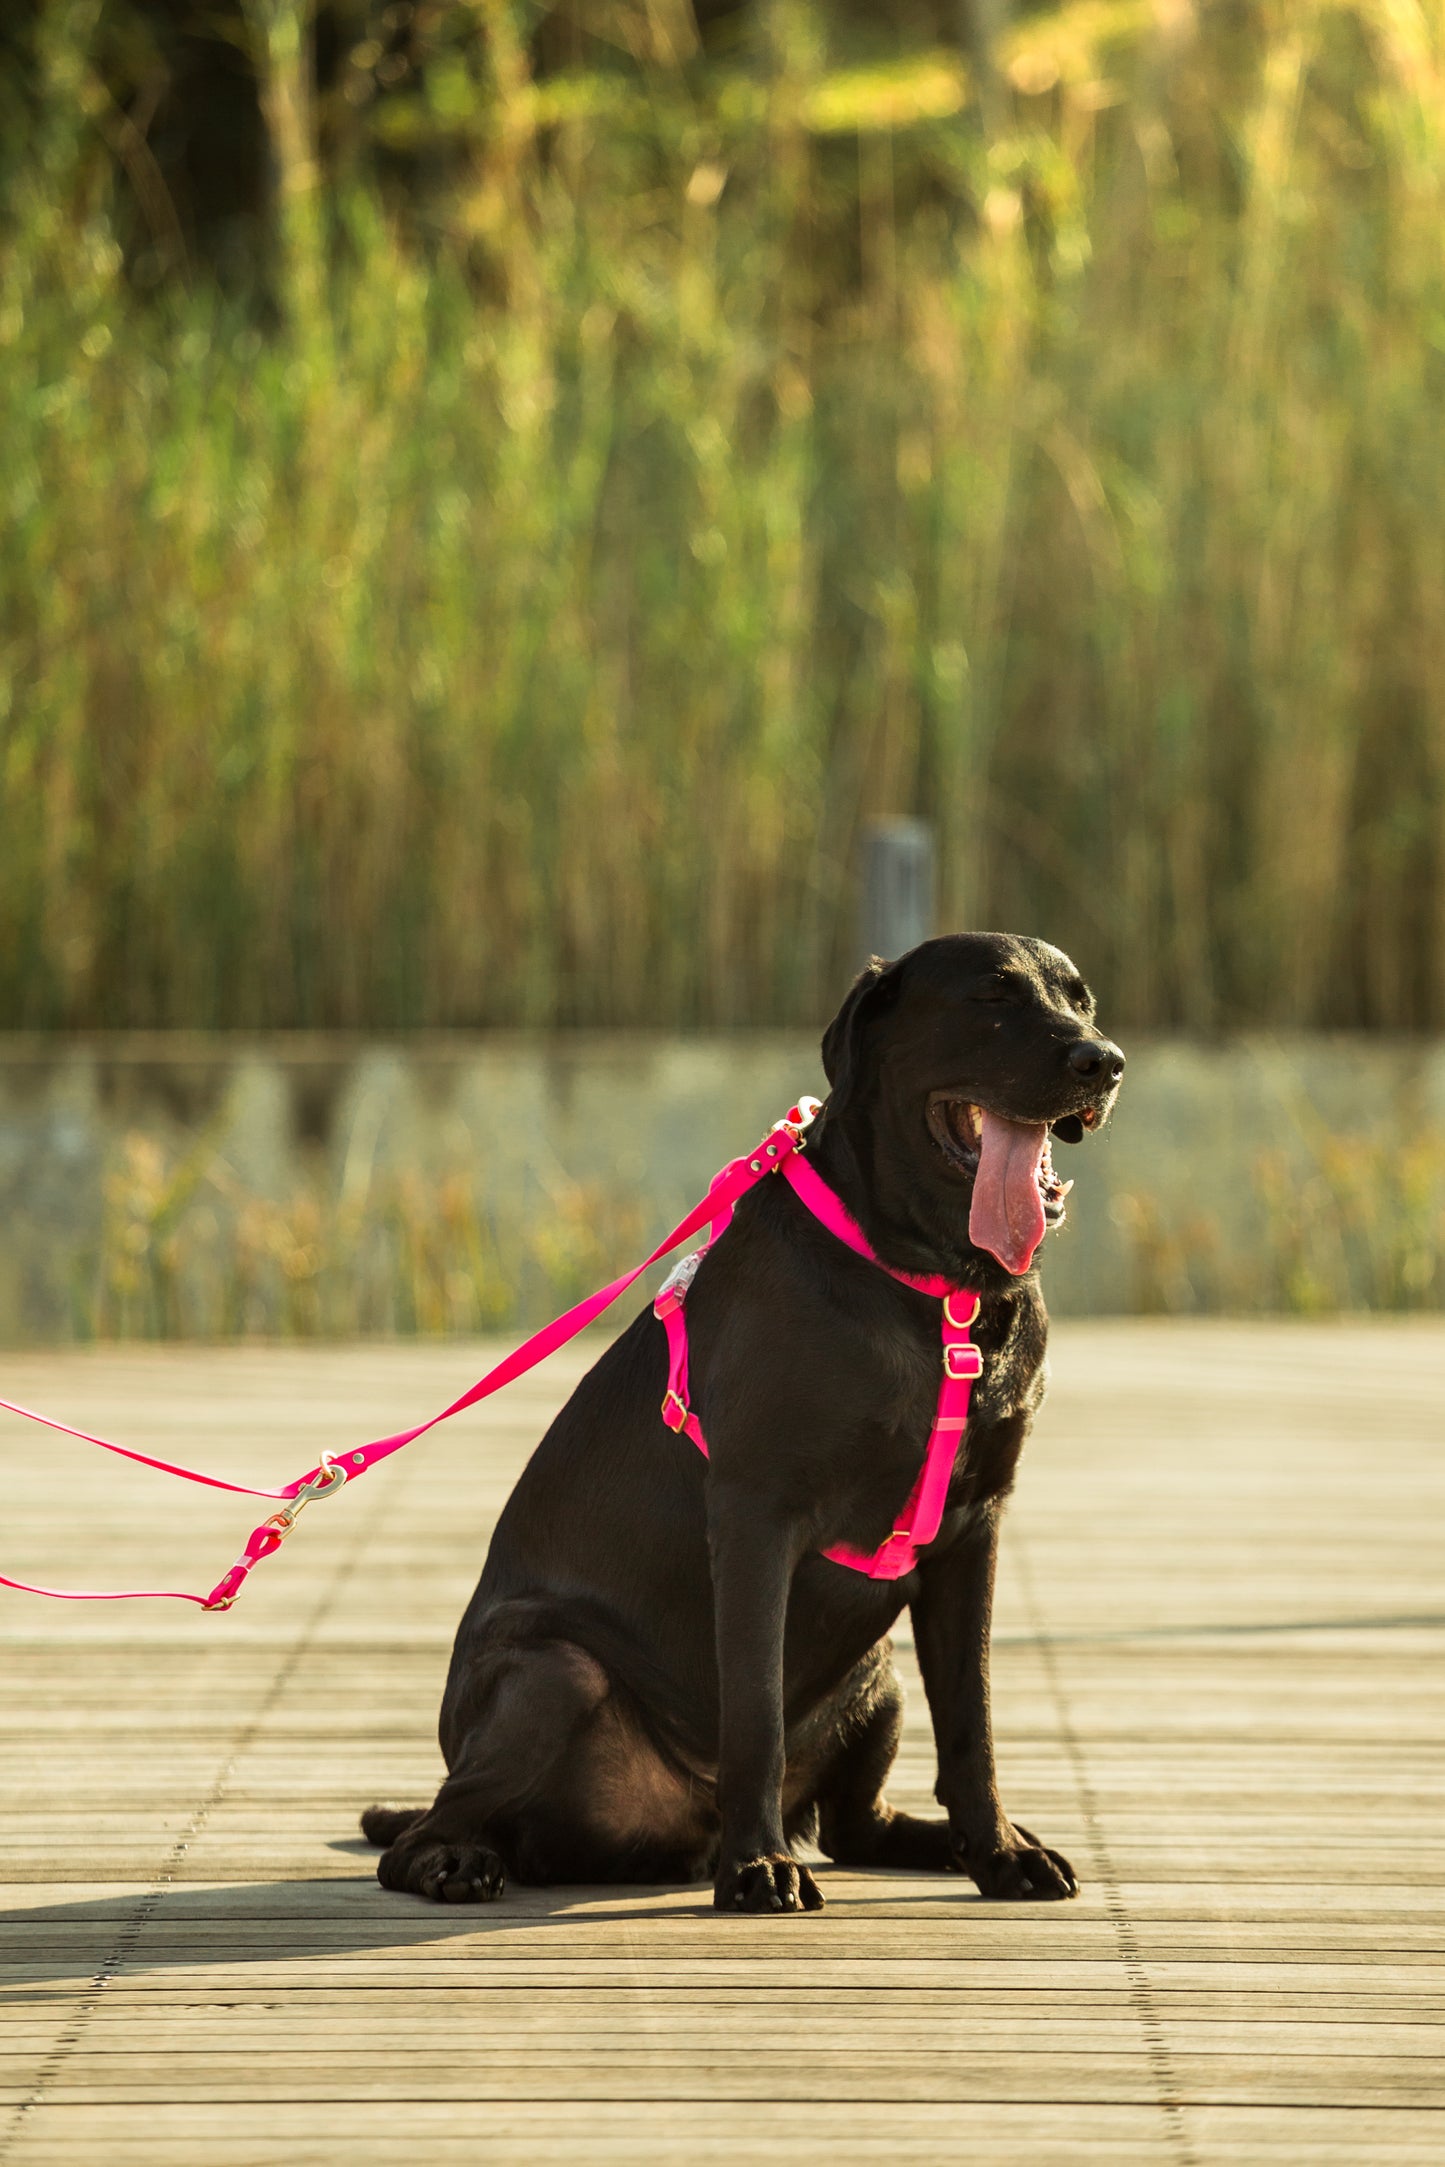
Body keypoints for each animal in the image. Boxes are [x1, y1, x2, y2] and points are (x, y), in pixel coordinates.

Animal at [359, 931, 1117, 1915]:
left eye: (1081, 998)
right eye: (991, 997)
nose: (1103, 1061)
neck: (937, 1291)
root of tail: (681, 1829)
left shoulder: (974, 1526)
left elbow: (972, 1719)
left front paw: (998, 1851)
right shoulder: (759, 1513)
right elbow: (754, 1709)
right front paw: (759, 1866)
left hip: (876, 1679)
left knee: (855, 1824)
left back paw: (941, 1844)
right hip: (551, 1666)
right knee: (427, 1828)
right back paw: (460, 1859)